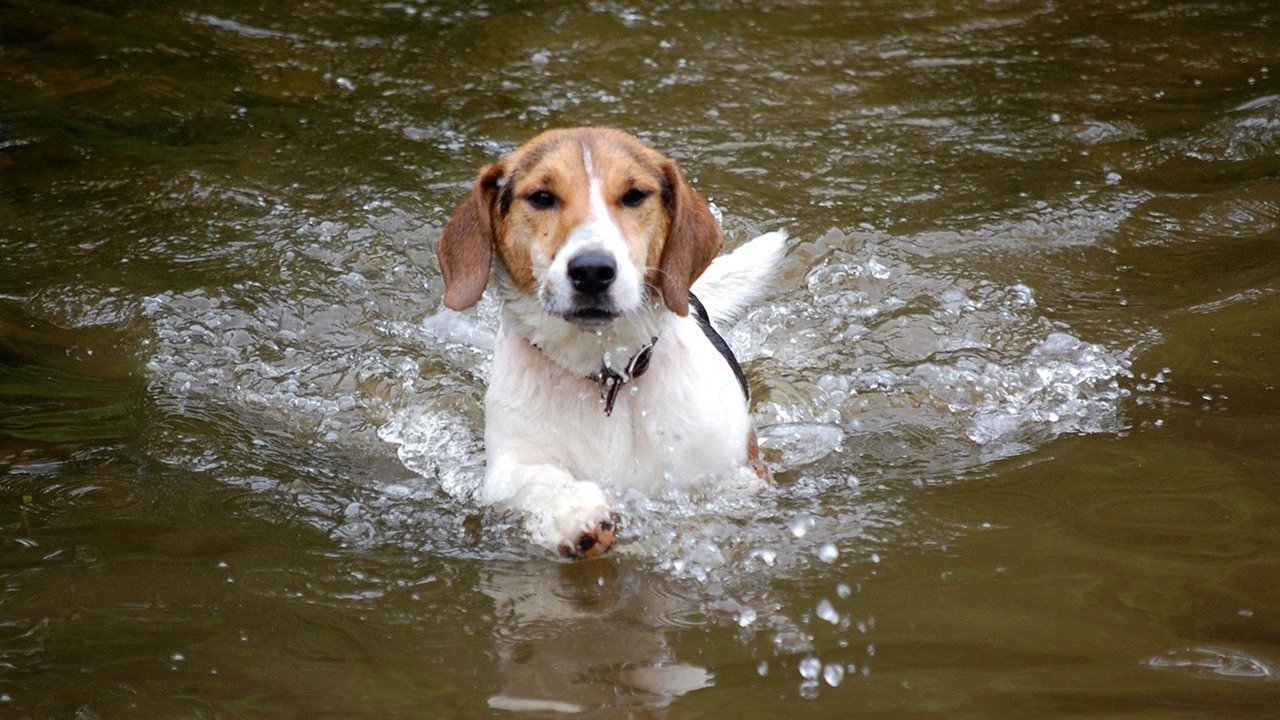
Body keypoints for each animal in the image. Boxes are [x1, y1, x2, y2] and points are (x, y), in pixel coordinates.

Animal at [435, 126, 783, 558]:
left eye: (634, 195)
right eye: (542, 197)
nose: (592, 269)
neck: (607, 374)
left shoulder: (738, 472)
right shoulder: (508, 467)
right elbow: (536, 482)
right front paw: (575, 514)